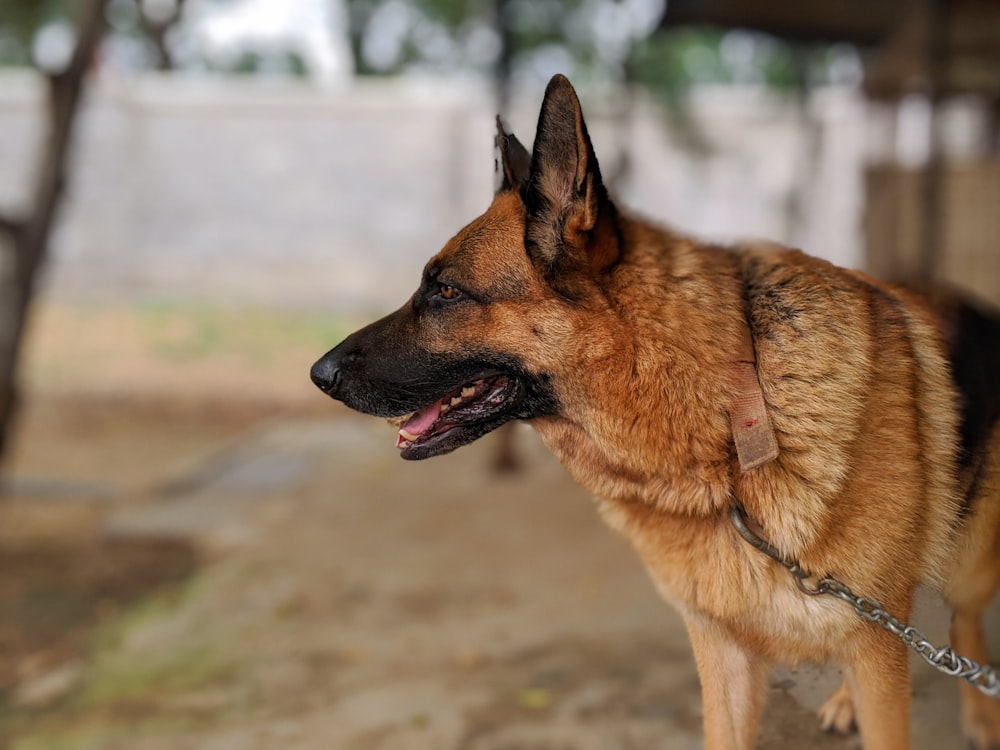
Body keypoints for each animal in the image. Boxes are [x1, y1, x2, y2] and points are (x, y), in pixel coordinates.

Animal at [314, 76, 1000, 750]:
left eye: (446, 291)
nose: (318, 375)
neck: (734, 417)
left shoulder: (875, 646)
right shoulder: (726, 652)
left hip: (965, 566)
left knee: (962, 625)